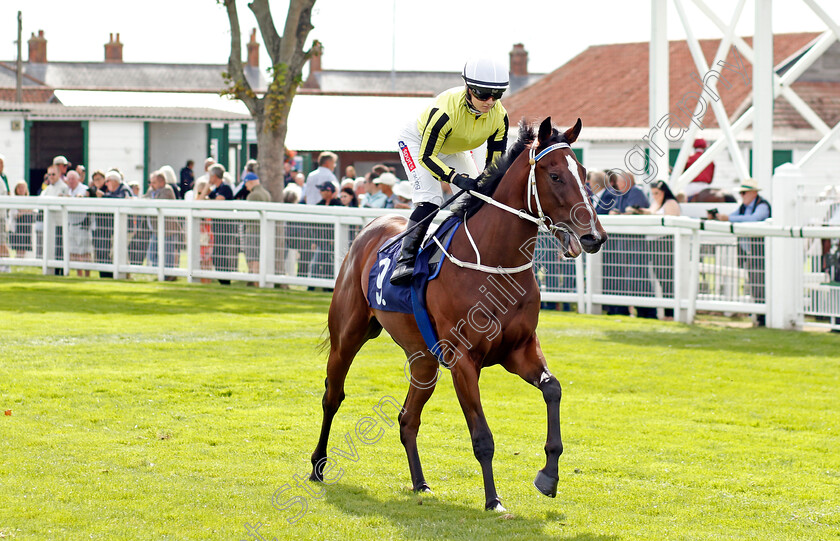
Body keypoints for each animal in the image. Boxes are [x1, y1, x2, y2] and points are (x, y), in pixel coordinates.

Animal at [312, 116, 608, 508]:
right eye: (556, 175)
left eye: (585, 173)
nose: (594, 237)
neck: (495, 263)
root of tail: (371, 227)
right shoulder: (463, 360)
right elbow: (482, 437)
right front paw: (494, 500)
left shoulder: (519, 349)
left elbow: (553, 389)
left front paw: (548, 475)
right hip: (348, 334)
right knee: (333, 396)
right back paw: (317, 467)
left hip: (423, 360)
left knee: (407, 419)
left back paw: (420, 483)